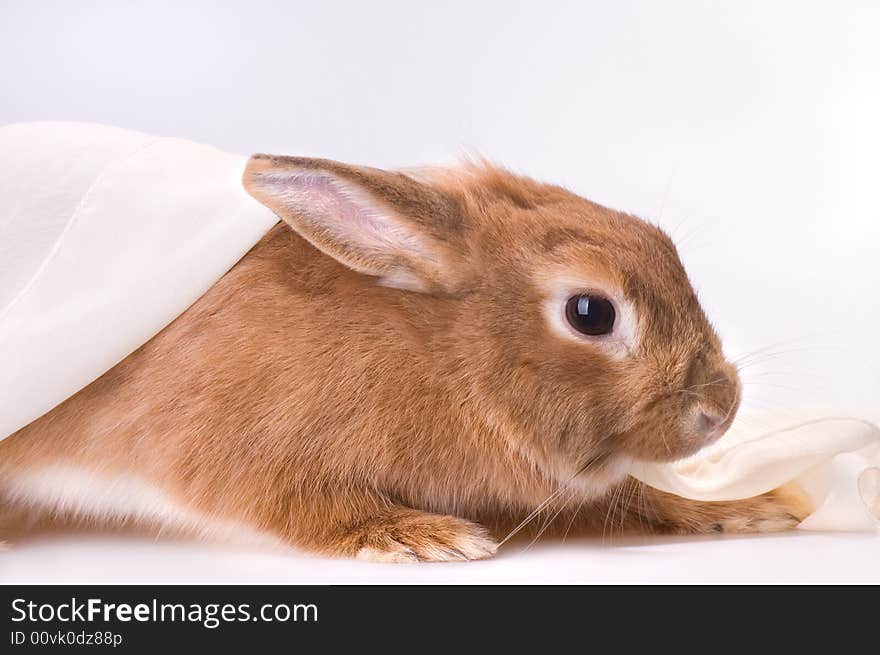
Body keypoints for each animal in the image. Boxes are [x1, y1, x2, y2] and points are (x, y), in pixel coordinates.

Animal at [0, 154, 812, 560]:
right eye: (591, 313)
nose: (720, 408)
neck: (443, 357)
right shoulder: (235, 451)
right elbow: (297, 505)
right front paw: (421, 537)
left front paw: (748, 509)